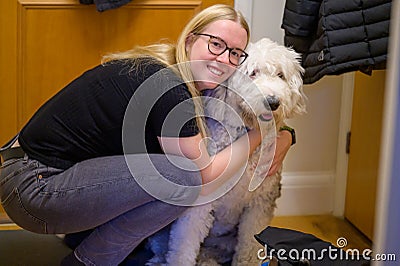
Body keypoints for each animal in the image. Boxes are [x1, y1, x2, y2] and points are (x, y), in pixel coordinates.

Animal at [147, 38, 306, 266]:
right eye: (252, 72)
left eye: (280, 75)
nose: (273, 102)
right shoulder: (200, 205)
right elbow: (183, 247)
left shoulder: (259, 205)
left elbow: (250, 245)